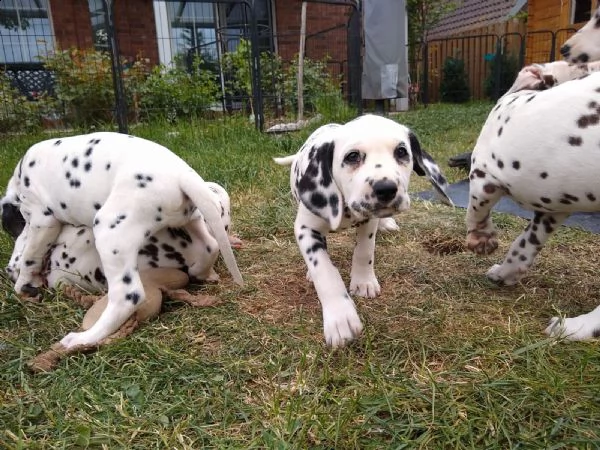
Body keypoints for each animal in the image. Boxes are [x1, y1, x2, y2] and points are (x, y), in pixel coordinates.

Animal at [274, 114, 452, 346]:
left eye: (401, 151)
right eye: (352, 156)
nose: (386, 188)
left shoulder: (368, 222)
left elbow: (364, 251)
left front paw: (363, 282)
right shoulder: (306, 229)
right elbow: (325, 270)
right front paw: (340, 317)